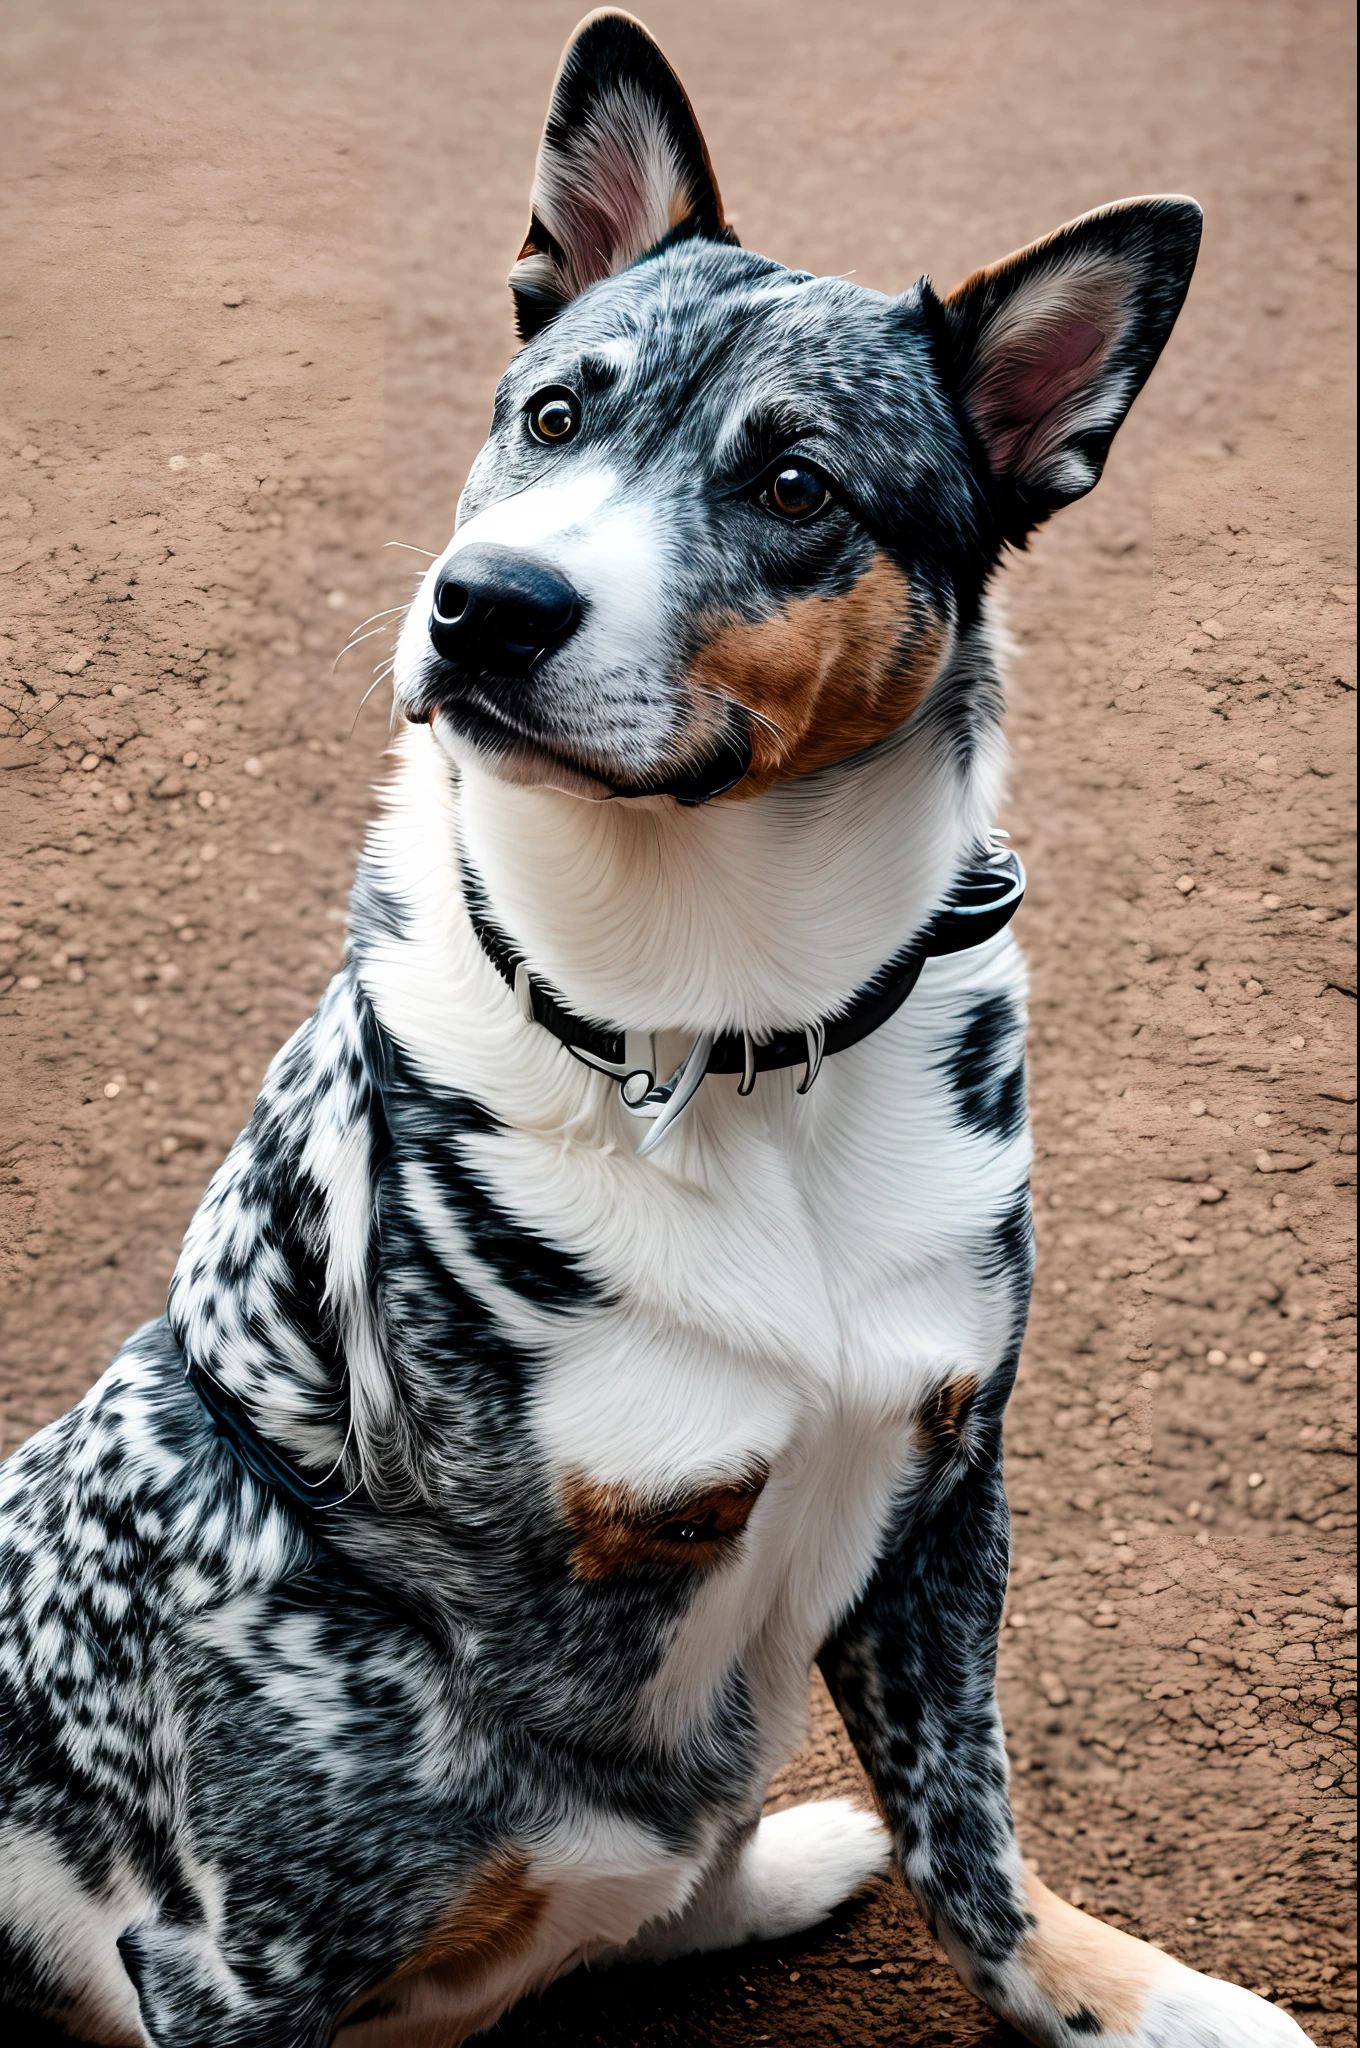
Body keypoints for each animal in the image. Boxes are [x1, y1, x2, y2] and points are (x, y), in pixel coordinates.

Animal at [0, 16, 1319, 2048]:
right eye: (553, 415)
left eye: (798, 487)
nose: (485, 604)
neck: (723, 1028)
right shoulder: (232, 1937)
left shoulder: (947, 1497)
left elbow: (975, 1839)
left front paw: (1129, 1995)